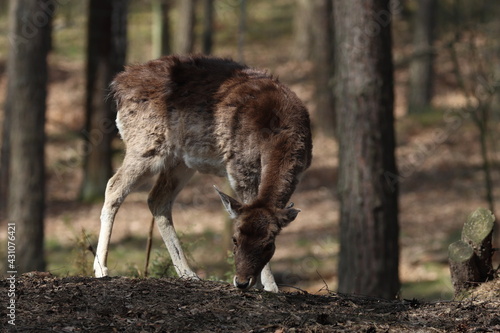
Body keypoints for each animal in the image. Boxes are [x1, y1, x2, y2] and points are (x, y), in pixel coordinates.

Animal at [93, 55, 312, 292]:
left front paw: (267, 286)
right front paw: (270, 287)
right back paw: (101, 269)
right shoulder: (239, 166)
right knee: (114, 186)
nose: (241, 282)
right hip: (144, 143)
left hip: (181, 160)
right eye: (234, 239)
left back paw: (188, 273)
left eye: (269, 244)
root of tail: (119, 84)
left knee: (157, 198)